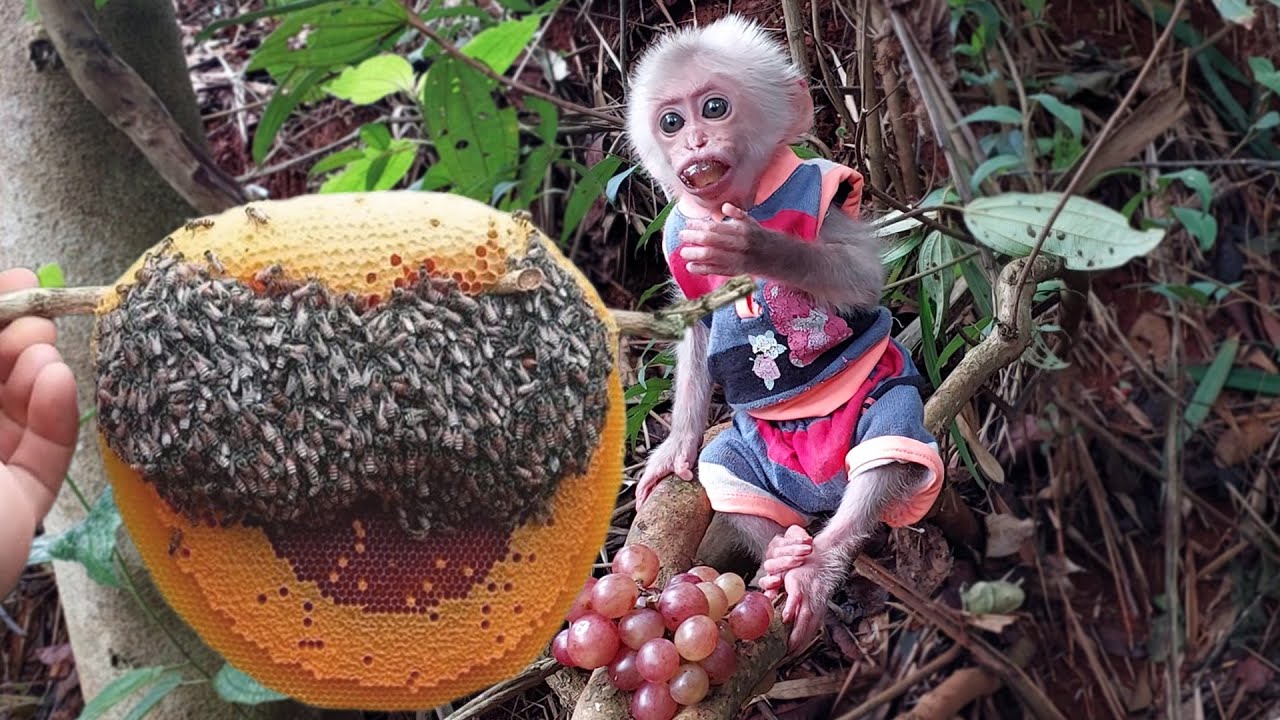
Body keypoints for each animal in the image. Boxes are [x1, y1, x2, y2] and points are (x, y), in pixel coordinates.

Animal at [625, 14, 946, 651]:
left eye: (714, 108)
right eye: (671, 122)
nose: (693, 144)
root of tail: (818, 495)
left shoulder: (826, 192)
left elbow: (860, 279)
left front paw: (756, 247)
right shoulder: (679, 237)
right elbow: (697, 329)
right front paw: (676, 446)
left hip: (877, 402)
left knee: (889, 443)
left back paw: (818, 563)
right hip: (764, 458)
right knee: (725, 467)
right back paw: (780, 551)